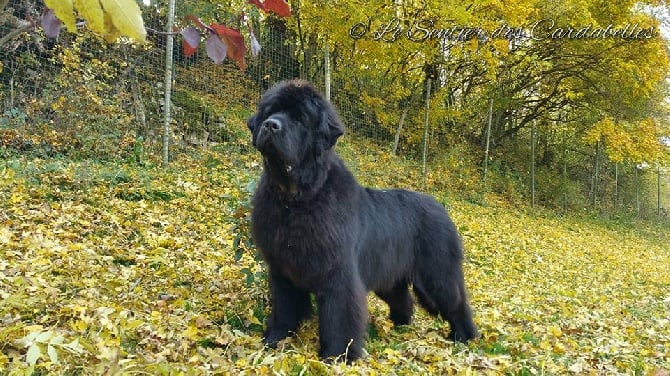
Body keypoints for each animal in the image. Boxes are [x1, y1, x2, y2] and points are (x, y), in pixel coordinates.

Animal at [249, 79, 480, 362]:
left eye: (300, 118)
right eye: (270, 111)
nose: (271, 125)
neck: (295, 200)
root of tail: (441, 207)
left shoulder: (338, 273)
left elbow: (339, 316)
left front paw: (338, 356)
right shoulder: (283, 270)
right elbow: (284, 307)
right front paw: (275, 339)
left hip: (437, 273)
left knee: (455, 302)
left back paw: (464, 337)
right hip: (391, 274)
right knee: (404, 300)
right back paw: (399, 326)